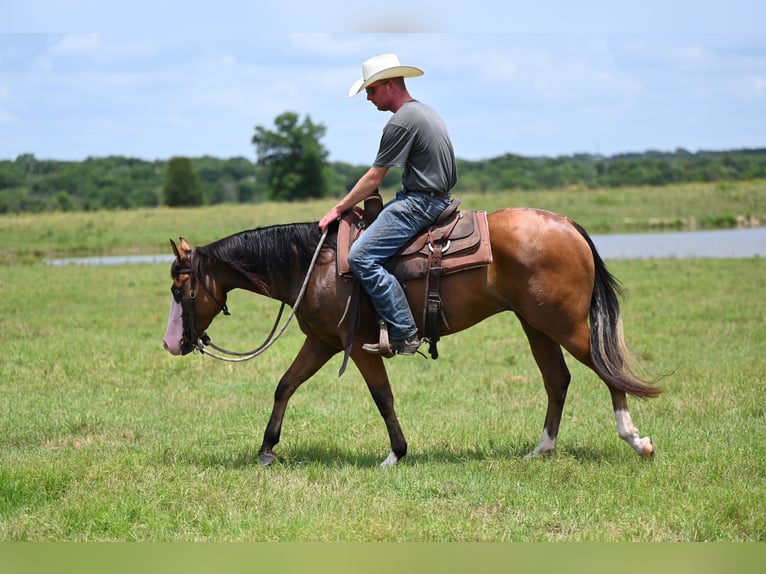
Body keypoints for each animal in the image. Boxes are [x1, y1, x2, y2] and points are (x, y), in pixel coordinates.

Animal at [160, 207, 660, 468]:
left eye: (179, 290)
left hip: (566, 326)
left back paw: (636, 441)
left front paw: (395, 454)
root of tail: (568, 224)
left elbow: (383, 397)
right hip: (535, 324)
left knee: (608, 372)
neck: (315, 264)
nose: (172, 344)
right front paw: (267, 449)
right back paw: (542, 449)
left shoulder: (357, 347)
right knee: (557, 380)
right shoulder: (321, 342)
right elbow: (285, 385)